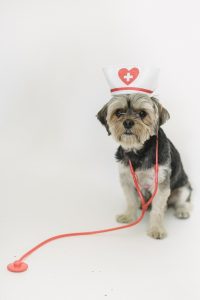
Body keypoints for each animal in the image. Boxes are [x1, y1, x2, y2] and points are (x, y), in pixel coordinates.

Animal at [97, 94, 192, 239]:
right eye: (118, 112)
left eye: (142, 113)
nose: (128, 122)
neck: (137, 152)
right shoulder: (127, 179)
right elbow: (131, 201)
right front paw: (128, 216)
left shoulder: (161, 182)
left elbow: (157, 210)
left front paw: (156, 229)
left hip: (184, 187)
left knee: (183, 201)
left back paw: (182, 210)